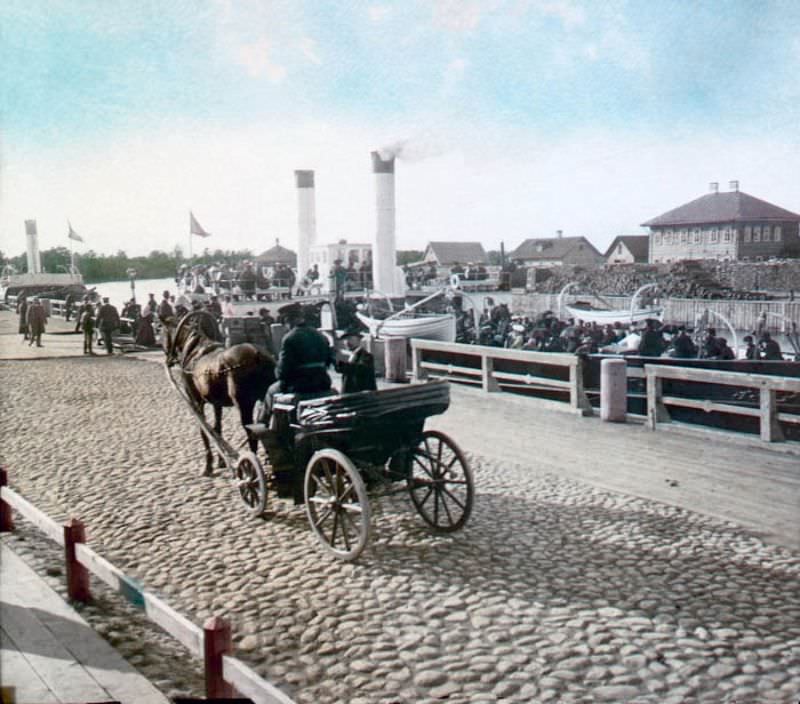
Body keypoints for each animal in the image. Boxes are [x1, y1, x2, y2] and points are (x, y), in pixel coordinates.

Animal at [164, 310, 276, 476]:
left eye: (161, 332)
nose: (168, 359)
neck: (195, 350)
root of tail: (257, 354)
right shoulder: (217, 403)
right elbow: (217, 428)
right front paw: (221, 461)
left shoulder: (196, 401)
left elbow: (204, 430)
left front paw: (208, 465)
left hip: (244, 404)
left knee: (251, 431)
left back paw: (250, 469)